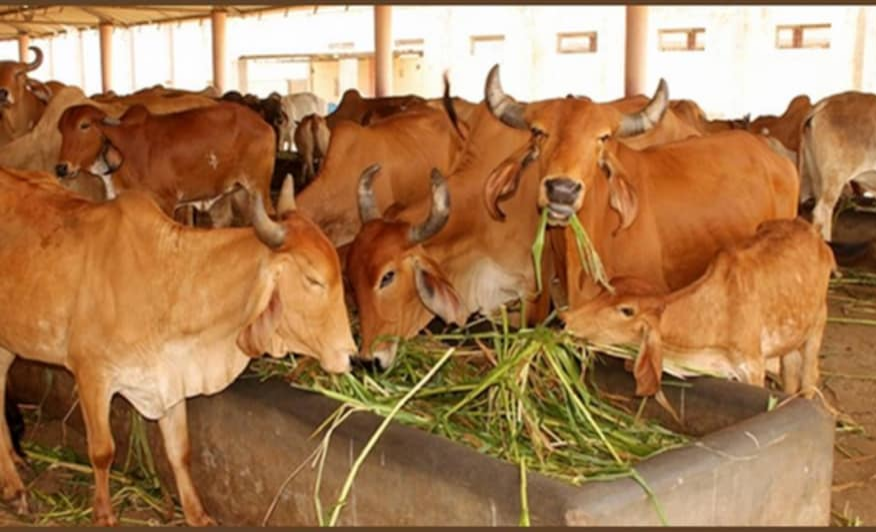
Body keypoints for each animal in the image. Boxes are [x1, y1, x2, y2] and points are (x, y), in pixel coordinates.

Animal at [0, 168, 356, 526]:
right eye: (313, 279)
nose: (350, 353)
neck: (167, 280)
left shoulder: (169, 378)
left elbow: (180, 452)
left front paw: (197, 514)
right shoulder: (91, 375)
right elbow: (102, 451)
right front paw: (103, 514)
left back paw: (15, 466)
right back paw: (17, 491)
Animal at [55, 101, 275, 225]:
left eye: (84, 125)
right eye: (61, 130)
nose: (61, 168)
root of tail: (265, 125)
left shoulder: (166, 202)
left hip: (259, 187)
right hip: (239, 191)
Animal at [562, 218, 835, 400]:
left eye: (626, 310)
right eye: (604, 290)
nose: (565, 318)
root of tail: (813, 232)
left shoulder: (752, 367)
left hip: (817, 327)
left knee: (809, 379)